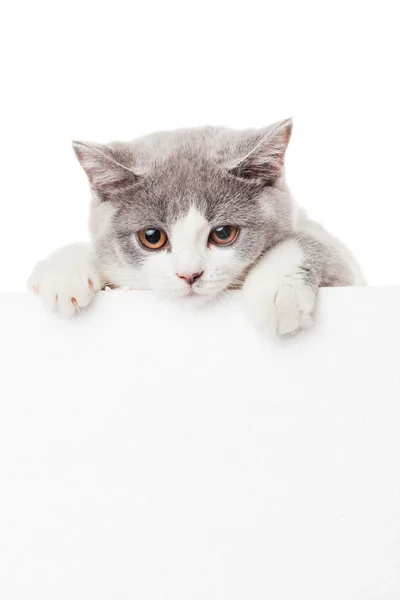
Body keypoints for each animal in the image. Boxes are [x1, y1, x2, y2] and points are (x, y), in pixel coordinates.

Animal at [27, 119, 366, 336]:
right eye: (152, 237)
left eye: (223, 233)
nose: (189, 274)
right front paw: (63, 274)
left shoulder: (348, 272)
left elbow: (311, 244)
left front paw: (277, 288)